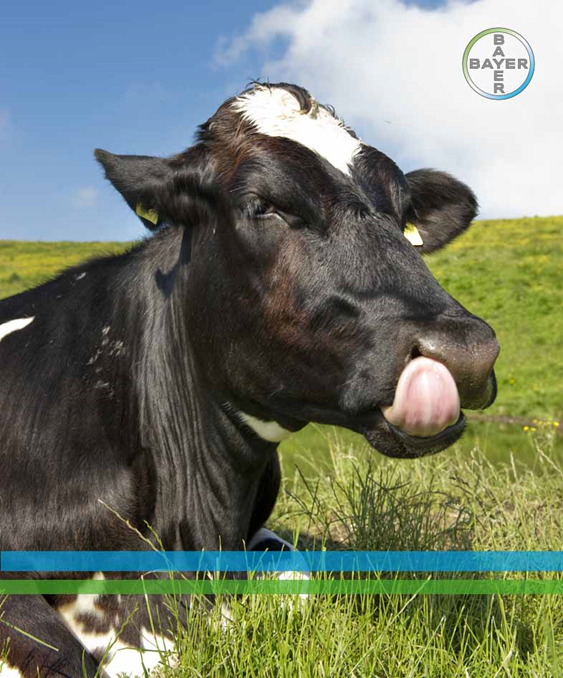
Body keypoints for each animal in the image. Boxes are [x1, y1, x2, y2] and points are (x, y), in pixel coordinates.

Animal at [0, 82, 499, 677]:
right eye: (264, 206)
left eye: (405, 220)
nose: (466, 351)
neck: (198, 519)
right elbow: (70, 653)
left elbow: (294, 581)